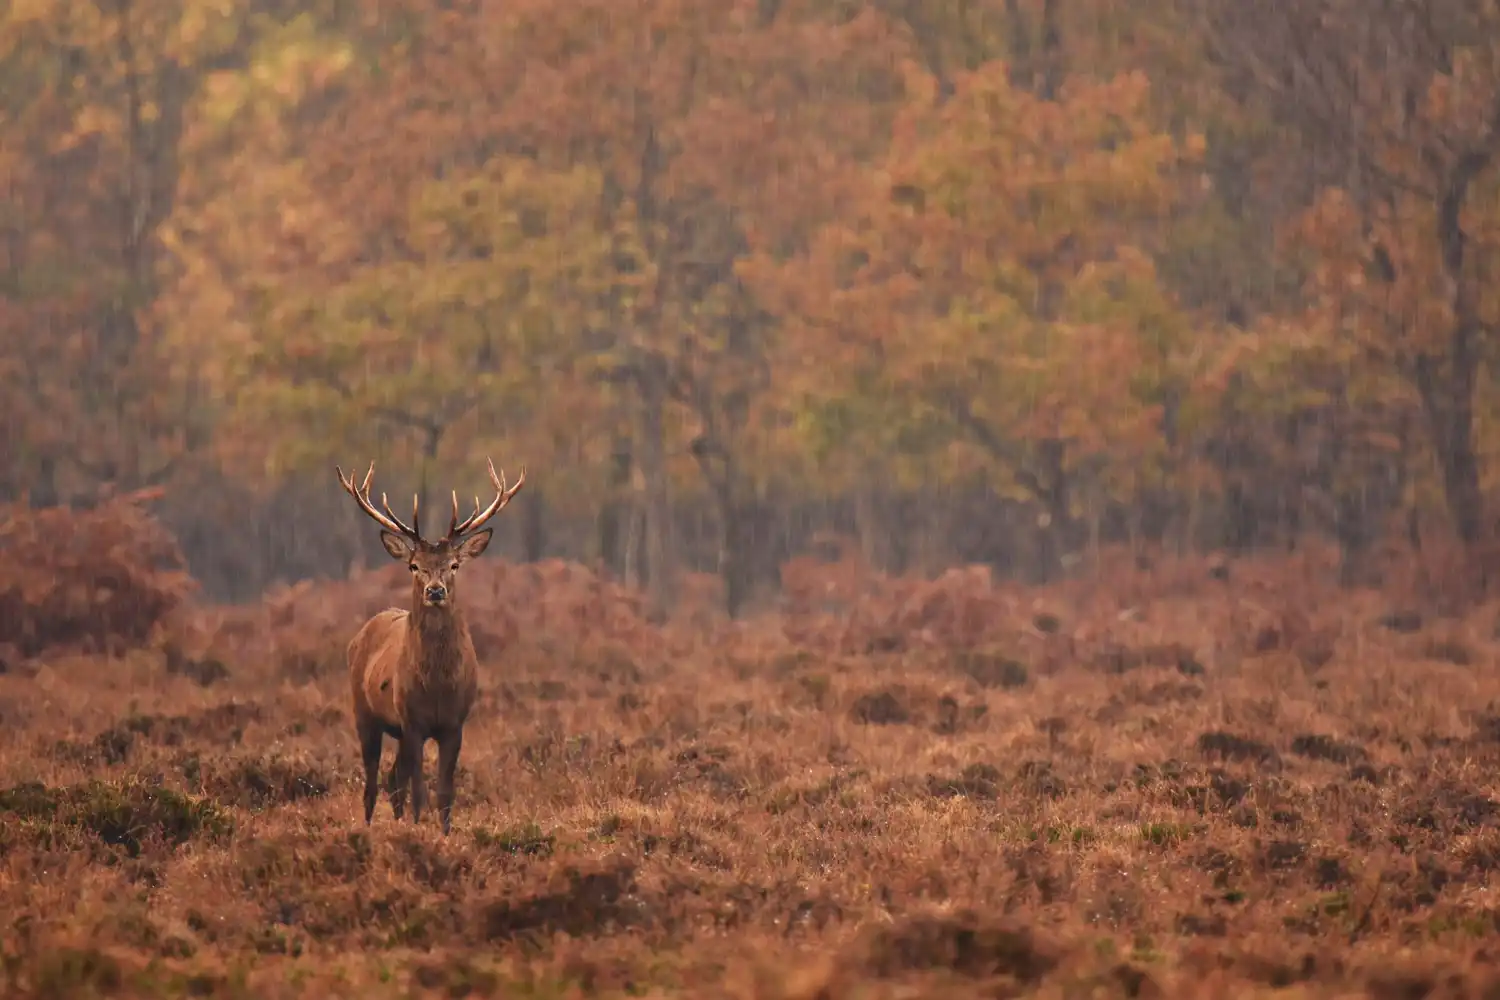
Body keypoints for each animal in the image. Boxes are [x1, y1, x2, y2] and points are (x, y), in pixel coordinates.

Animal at [335, 457, 525, 835]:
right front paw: (418, 830)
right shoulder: (412, 720)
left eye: (454, 564)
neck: (437, 683)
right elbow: (419, 791)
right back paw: (367, 829)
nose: (435, 590)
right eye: (414, 565)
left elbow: (445, 792)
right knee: (373, 783)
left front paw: (444, 833)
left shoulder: (455, 723)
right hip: (365, 712)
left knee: (394, 779)